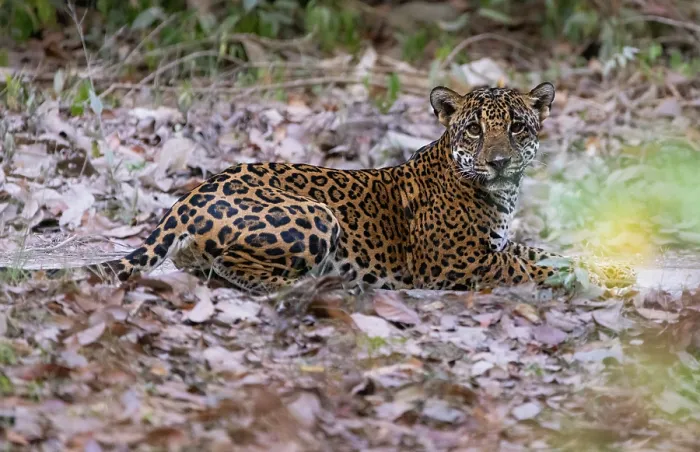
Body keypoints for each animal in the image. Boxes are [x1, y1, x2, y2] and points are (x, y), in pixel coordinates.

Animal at [89, 82, 635, 293]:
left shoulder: (495, 246)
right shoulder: (458, 264)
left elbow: (547, 252)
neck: (501, 195)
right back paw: (312, 285)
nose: (497, 162)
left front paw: (612, 266)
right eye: (475, 130)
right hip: (316, 215)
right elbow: (532, 267)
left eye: (518, 128)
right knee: (224, 265)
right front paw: (591, 279)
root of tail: (188, 197)